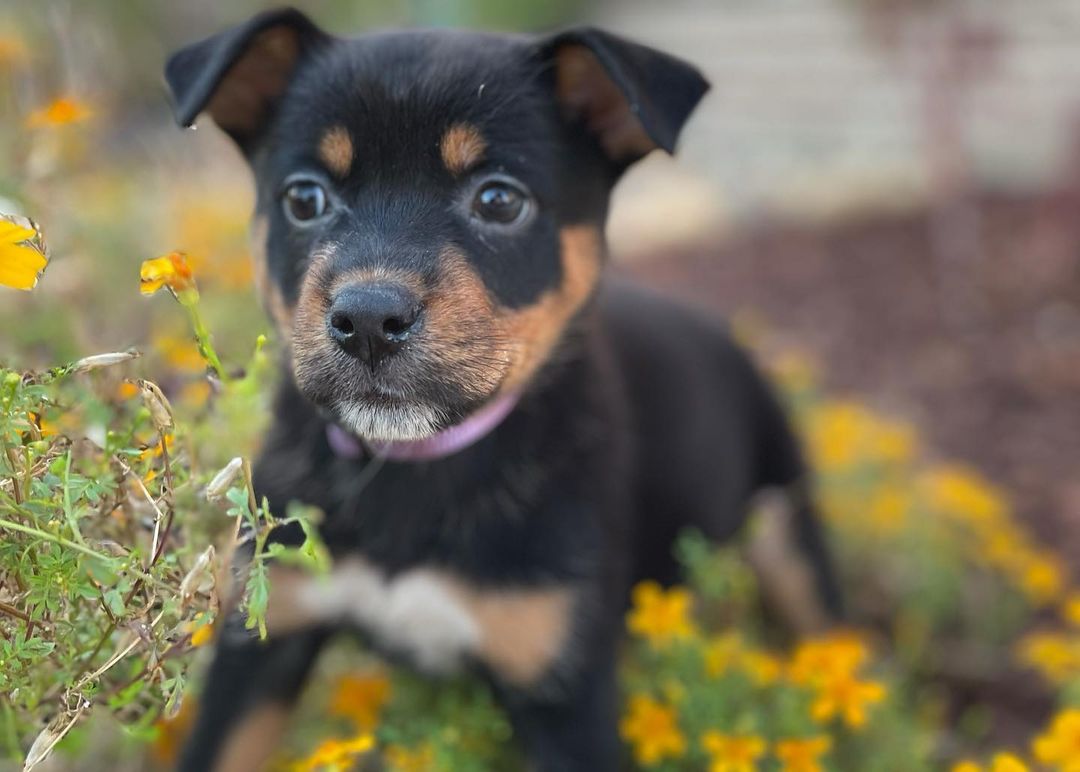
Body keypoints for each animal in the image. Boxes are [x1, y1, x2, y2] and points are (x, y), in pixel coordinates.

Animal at [164, 9, 838, 768]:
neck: (415, 468)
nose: (367, 321)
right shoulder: (263, 636)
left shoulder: (562, 687)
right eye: (304, 198)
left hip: (786, 522)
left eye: (499, 199)